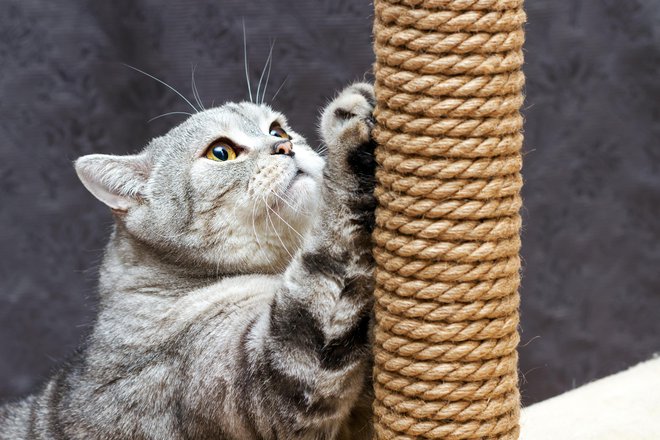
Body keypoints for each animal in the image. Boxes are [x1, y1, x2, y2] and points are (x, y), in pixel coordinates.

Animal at [0, 83, 378, 440]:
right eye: (221, 152)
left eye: (277, 130)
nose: (286, 146)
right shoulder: (281, 376)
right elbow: (335, 232)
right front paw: (349, 128)